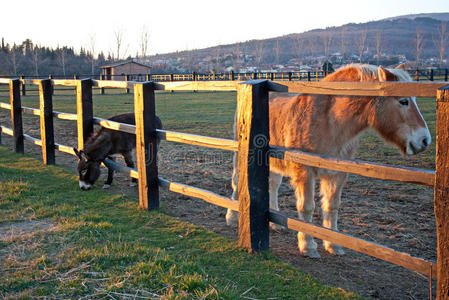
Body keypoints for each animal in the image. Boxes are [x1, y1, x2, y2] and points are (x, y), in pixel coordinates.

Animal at [226, 63, 428, 258]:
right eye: (403, 101)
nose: (425, 140)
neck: (329, 121)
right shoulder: (304, 171)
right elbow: (307, 207)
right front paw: (307, 246)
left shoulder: (337, 174)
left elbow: (331, 206)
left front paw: (333, 245)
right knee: (237, 181)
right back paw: (232, 216)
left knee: (273, 186)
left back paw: (275, 224)